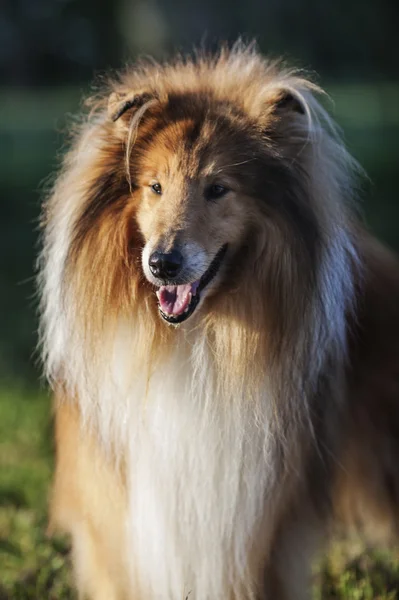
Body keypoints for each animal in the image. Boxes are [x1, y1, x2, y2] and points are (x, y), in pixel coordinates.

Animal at [39, 43, 399, 600]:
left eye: (218, 188)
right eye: (155, 186)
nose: (163, 263)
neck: (193, 340)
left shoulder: (256, 528)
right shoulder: (117, 519)